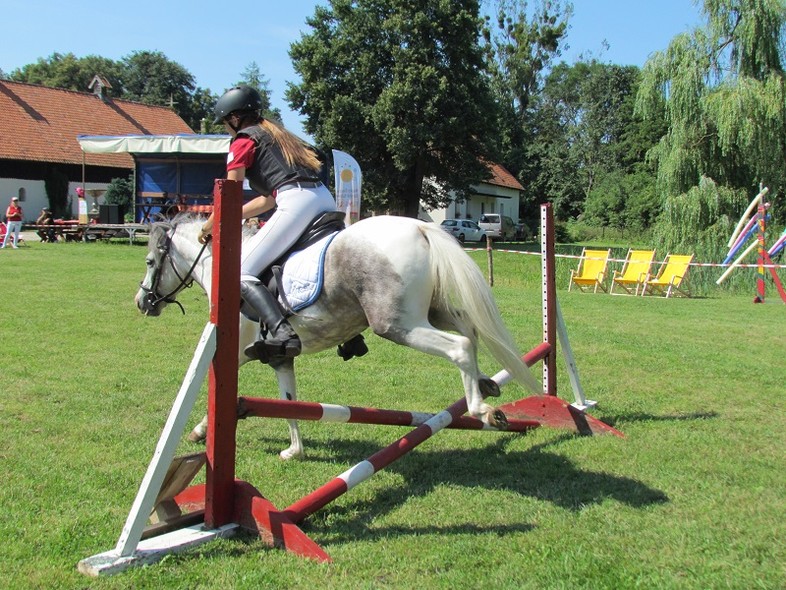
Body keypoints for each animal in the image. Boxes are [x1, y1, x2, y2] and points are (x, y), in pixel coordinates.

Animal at [136, 215, 540, 460]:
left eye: (151, 262)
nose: (142, 302)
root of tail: (418, 227)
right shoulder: (281, 358)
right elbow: (289, 401)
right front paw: (295, 450)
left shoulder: (234, 351)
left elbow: (213, 390)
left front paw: (200, 431)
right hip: (433, 309)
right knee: (469, 327)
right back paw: (487, 385)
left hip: (398, 324)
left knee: (460, 346)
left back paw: (481, 410)